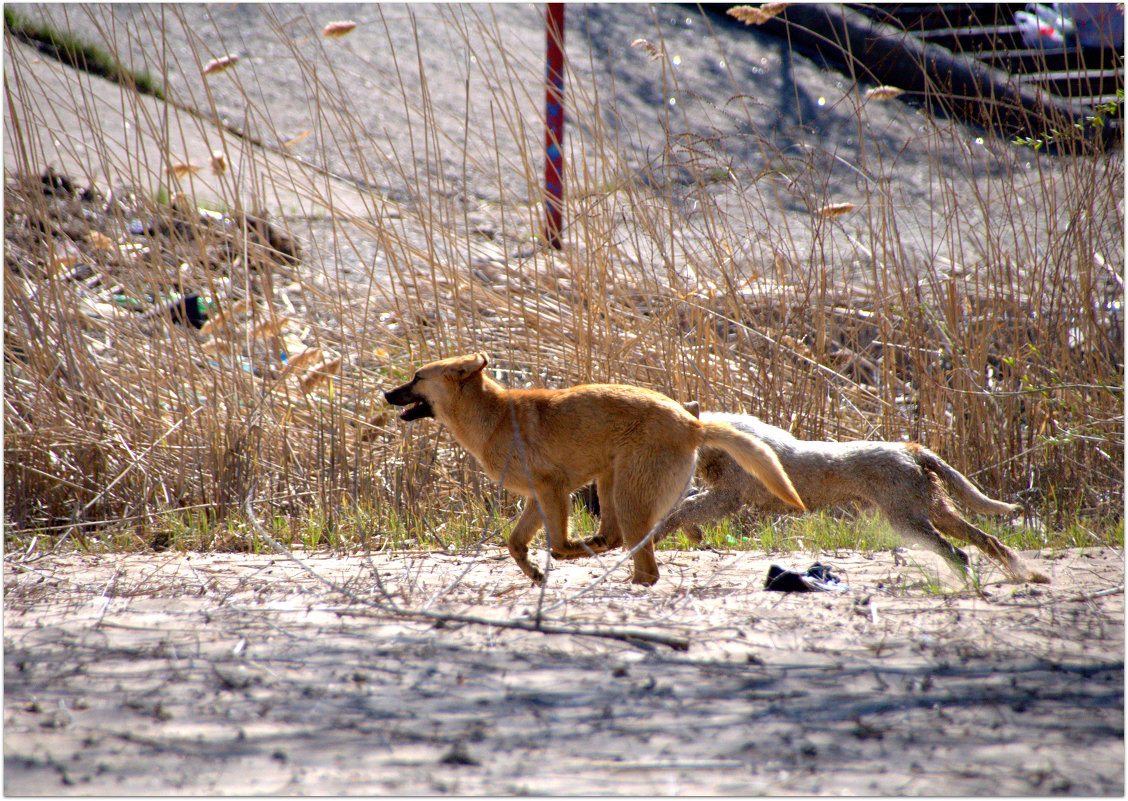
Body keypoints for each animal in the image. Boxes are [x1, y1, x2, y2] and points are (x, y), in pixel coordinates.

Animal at [383, 354, 807, 586]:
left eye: (417, 377)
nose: (385, 394)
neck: (493, 416)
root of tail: (692, 425)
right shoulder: (539, 497)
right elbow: (516, 544)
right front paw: (534, 572)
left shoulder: (553, 489)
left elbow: (557, 544)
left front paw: (568, 552)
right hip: (610, 484)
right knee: (621, 541)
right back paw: (604, 552)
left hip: (628, 494)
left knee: (643, 562)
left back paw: (615, 569)